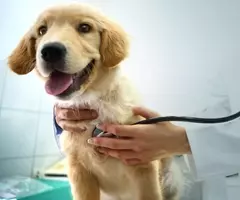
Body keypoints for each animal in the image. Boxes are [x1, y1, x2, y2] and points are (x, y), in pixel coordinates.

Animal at [7, 2, 184, 199]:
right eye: (42, 30)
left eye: (85, 27)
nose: (50, 51)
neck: (94, 102)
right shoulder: (79, 171)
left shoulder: (143, 167)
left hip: (171, 180)